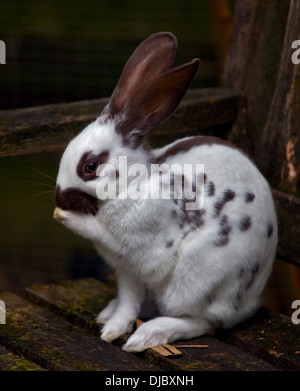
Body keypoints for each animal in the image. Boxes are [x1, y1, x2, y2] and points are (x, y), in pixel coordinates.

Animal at [53, 32, 276, 354]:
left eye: (90, 166)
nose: (58, 198)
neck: (135, 181)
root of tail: (249, 303)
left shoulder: (135, 247)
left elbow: (99, 230)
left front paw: (65, 216)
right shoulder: (127, 272)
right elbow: (129, 303)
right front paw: (112, 329)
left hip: (197, 280)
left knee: (202, 322)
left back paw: (148, 335)